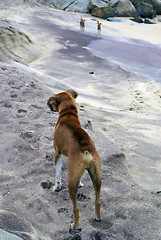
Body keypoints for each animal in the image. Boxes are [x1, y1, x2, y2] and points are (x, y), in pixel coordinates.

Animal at [46, 89, 102, 232]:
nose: (48, 105)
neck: (68, 113)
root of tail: (86, 150)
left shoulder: (58, 154)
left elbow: (57, 175)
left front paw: (57, 187)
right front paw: (81, 183)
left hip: (71, 185)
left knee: (76, 208)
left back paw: (75, 226)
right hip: (97, 177)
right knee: (98, 200)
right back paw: (97, 217)